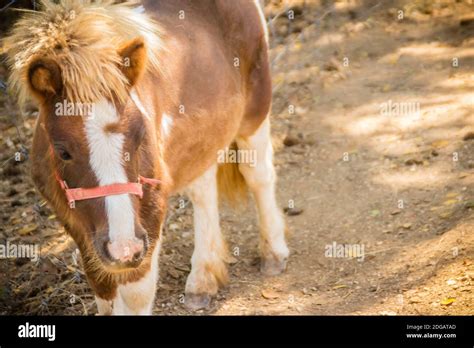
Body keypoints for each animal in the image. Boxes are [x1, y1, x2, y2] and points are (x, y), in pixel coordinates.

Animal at [3, 0, 288, 314]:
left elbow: (135, 295)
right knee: (203, 189)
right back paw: (203, 279)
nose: (123, 246)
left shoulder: (150, 211)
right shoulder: (76, 224)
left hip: (255, 111)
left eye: (140, 135)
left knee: (259, 175)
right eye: (63, 151)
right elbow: (103, 290)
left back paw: (273, 254)